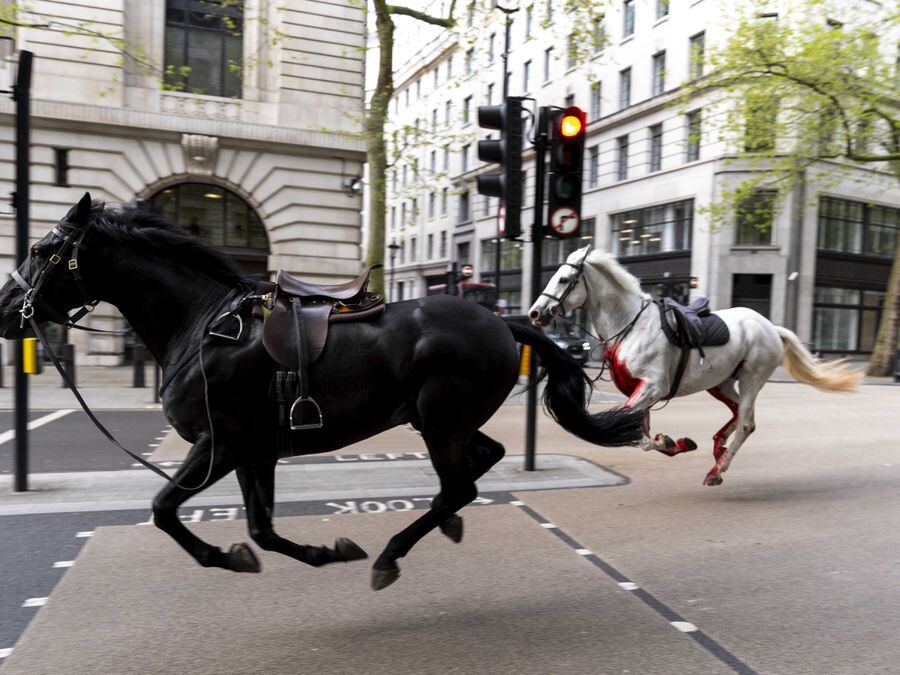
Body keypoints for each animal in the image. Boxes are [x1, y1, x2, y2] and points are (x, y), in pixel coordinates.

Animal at [0, 193, 640, 588]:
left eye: (39, 250)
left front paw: (220, 556)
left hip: (439, 420)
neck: (203, 325)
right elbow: (260, 529)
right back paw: (441, 525)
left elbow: (163, 510)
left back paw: (392, 553)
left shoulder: (220, 443)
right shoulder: (254, 450)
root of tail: (502, 322)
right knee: (480, 464)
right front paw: (318, 552)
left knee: (459, 485)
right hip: (438, 420)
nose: (7, 308)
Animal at [532, 247, 860, 486]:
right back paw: (718, 448)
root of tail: (770, 326)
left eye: (564, 279)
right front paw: (673, 442)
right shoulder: (641, 391)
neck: (630, 325)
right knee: (738, 413)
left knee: (746, 423)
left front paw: (669, 441)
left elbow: (634, 432)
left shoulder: (652, 387)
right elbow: (641, 434)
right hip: (721, 382)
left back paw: (717, 469)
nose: (535, 313)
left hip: (752, 378)